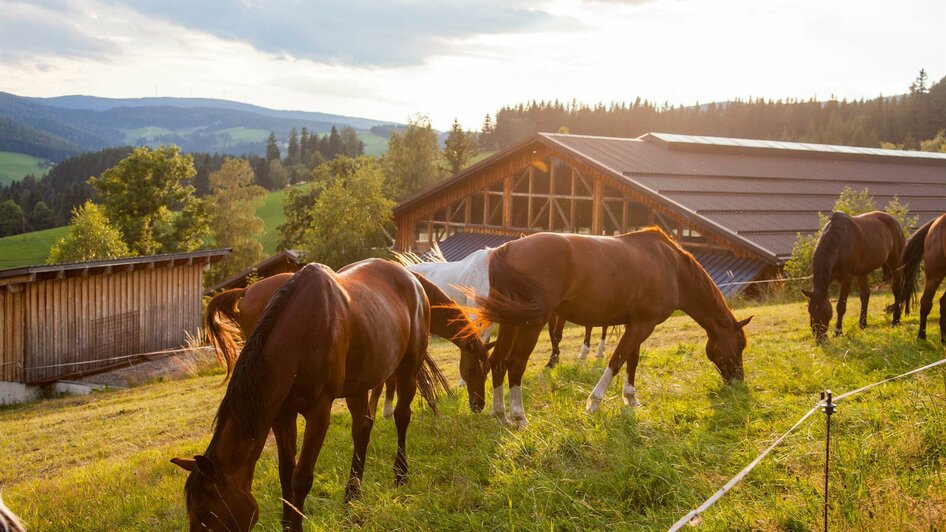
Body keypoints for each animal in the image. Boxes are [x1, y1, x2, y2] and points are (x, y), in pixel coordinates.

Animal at [174, 260, 454, 528]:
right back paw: (352, 495)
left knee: (401, 416)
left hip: (408, 368)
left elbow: (301, 477)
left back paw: (400, 475)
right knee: (362, 428)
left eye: (204, 512)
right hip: (359, 384)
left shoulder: (319, 411)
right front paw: (287, 521)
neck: (302, 332)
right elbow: (286, 471)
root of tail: (411, 279)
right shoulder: (282, 413)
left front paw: (295, 525)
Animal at [468, 230, 748, 428]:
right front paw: (595, 402)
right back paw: (519, 416)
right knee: (515, 364)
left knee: (498, 361)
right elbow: (617, 359)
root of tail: (507, 248)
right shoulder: (642, 325)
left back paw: (500, 414)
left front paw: (631, 398)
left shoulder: (637, 324)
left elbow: (632, 360)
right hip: (531, 325)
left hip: (511, 322)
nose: (738, 381)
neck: (672, 268)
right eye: (740, 345)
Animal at [800, 210, 904, 342]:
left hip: (895, 263)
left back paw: (895, 320)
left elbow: (841, 306)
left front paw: (838, 332)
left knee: (897, 290)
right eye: (810, 311)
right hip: (861, 273)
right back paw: (862, 324)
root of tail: (895, 221)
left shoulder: (846, 278)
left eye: (825, 310)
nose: (820, 338)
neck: (838, 242)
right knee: (865, 295)